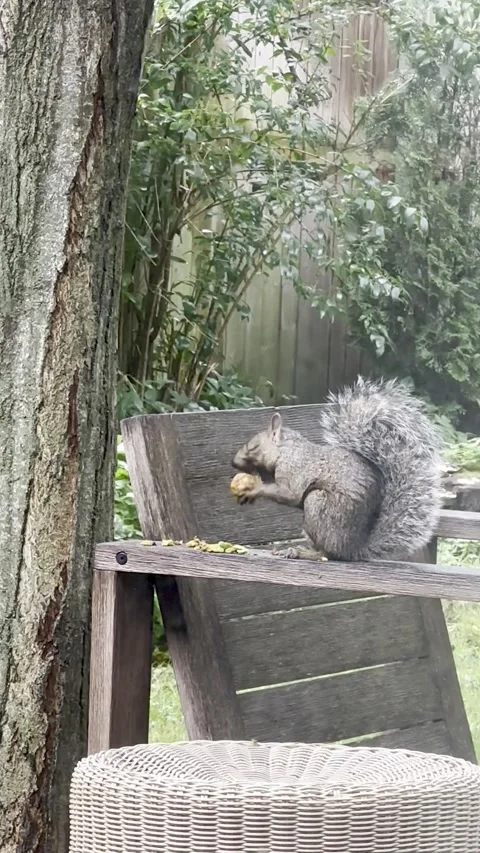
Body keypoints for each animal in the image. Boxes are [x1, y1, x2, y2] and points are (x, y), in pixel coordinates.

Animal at [231, 378, 442, 562]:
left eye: (252, 447)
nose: (234, 463)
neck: (286, 450)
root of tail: (353, 549)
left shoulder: (295, 469)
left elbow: (288, 493)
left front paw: (254, 489)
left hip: (319, 506)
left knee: (327, 553)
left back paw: (300, 552)